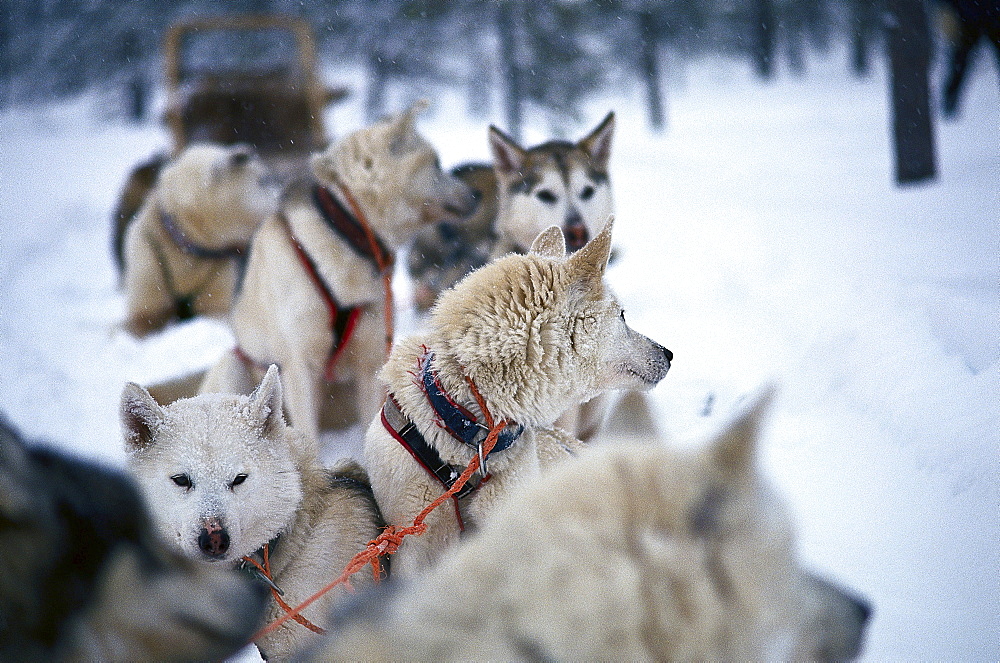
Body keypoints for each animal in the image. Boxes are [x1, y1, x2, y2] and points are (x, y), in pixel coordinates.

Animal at [121, 142, 280, 334]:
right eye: (262, 180)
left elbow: (216, 311)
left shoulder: (217, 272)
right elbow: (145, 317)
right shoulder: (151, 263)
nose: (282, 201)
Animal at [201, 102, 478, 446]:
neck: (346, 229)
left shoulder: (369, 364)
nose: (478, 194)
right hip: (234, 367)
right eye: (437, 164)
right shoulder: (299, 368)